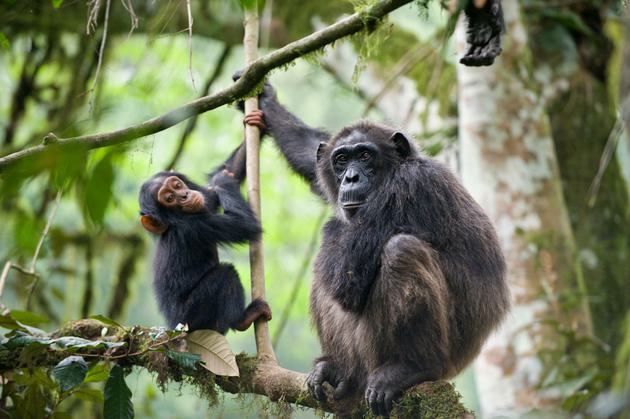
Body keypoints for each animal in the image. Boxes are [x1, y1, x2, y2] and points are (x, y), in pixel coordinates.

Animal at [138, 118, 272, 334]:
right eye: (169, 198)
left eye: (177, 185)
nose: (184, 195)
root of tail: (172, 328)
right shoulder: (196, 227)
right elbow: (245, 225)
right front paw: (223, 180)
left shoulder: (204, 201)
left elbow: (218, 185)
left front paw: (256, 119)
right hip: (193, 317)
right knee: (226, 273)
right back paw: (243, 319)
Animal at [238, 82, 512, 416]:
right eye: (341, 159)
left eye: (366, 155)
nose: (351, 177)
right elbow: (313, 162)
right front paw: (266, 100)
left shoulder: (406, 187)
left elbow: (346, 277)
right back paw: (335, 369)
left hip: (417, 357)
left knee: (400, 250)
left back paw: (412, 367)